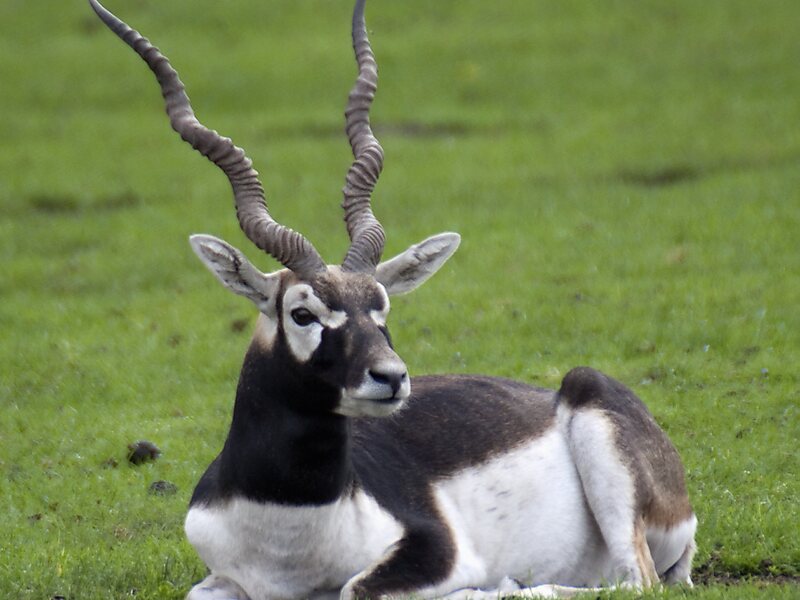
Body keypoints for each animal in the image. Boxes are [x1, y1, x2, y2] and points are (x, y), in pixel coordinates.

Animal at [92, 1, 692, 600]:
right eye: (302, 313)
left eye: (381, 306)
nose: (392, 377)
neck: (288, 522)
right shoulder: (221, 575)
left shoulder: (436, 552)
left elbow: (354, 588)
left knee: (633, 582)